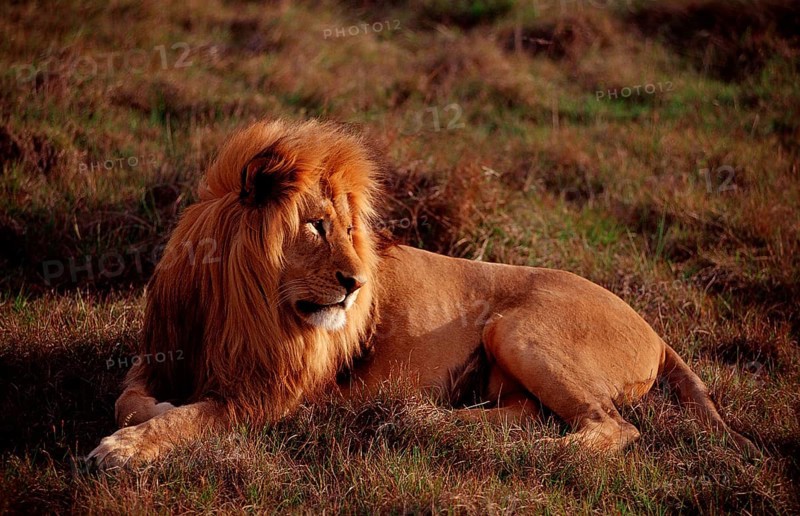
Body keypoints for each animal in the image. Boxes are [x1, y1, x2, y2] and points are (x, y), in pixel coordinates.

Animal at [88, 119, 758, 467]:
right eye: (316, 226)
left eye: (351, 231)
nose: (356, 285)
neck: (236, 302)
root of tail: (656, 330)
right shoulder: (159, 352)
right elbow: (128, 398)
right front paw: (148, 412)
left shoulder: (268, 397)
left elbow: (193, 417)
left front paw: (124, 449)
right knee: (525, 414)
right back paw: (429, 421)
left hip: (516, 328)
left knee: (613, 428)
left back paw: (537, 453)